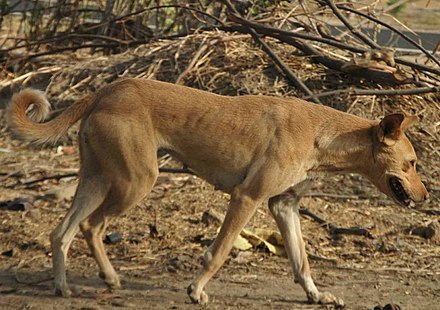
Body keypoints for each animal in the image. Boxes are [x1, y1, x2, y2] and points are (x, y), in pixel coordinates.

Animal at [5, 78, 428, 308]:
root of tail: (107, 90)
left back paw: (65, 286)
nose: (425, 198)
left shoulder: (283, 207)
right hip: (136, 181)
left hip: (96, 179)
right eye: (411, 164)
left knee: (62, 232)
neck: (321, 134)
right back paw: (103, 279)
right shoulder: (246, 197)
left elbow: (302, 262)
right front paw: (196, 291)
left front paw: (317, 295)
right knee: (91, 226)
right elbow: (220, 251)